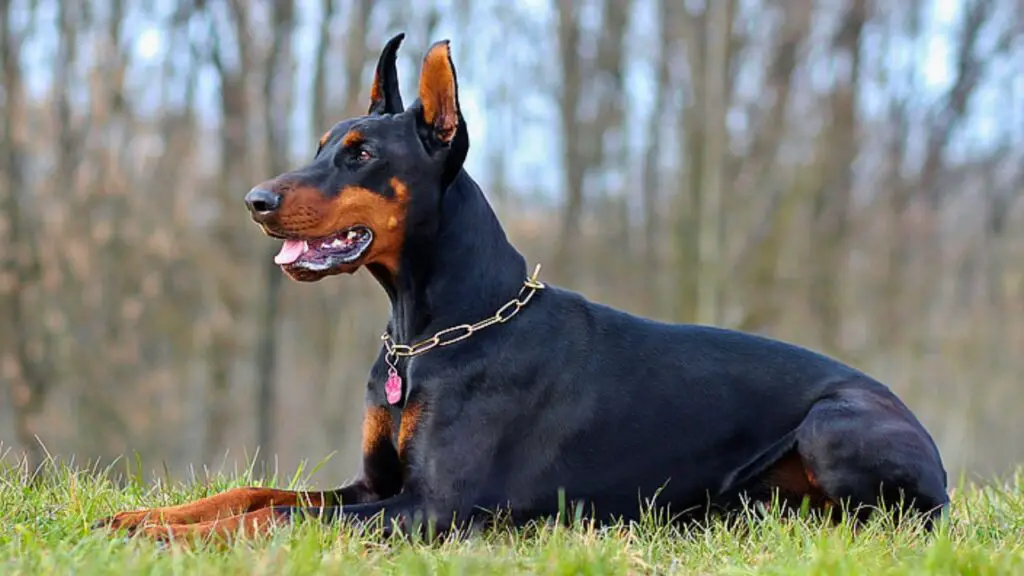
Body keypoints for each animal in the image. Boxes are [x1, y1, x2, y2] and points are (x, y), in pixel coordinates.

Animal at [97, 34, 950, 537]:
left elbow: (273, 522)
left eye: (360, 154)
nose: (255, 201)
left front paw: (172, 539)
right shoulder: (372, 485)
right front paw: (142, 517)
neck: (431, 332)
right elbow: (251, 497)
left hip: (834, 423)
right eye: (320, 145)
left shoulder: (430, 508)